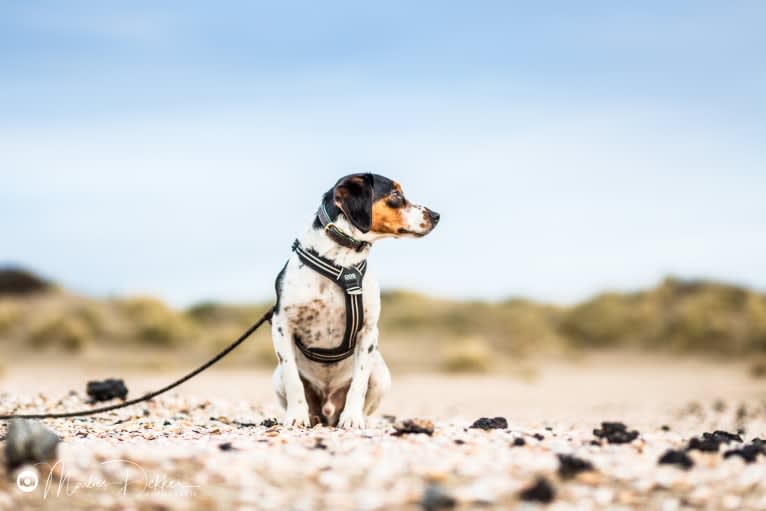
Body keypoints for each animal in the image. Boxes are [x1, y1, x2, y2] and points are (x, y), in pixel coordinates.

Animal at [272, 174, 440, 430]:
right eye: (396, 195)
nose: (436, 215)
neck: (341, 263)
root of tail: (328, 409)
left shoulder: (368, 332)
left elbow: (358, 385)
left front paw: (352, 418)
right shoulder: (281, 325)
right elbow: (293, 380)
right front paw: (296, 416)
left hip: (381, 375)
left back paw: (359, 419)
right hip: (277, 377)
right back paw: (312, 416)